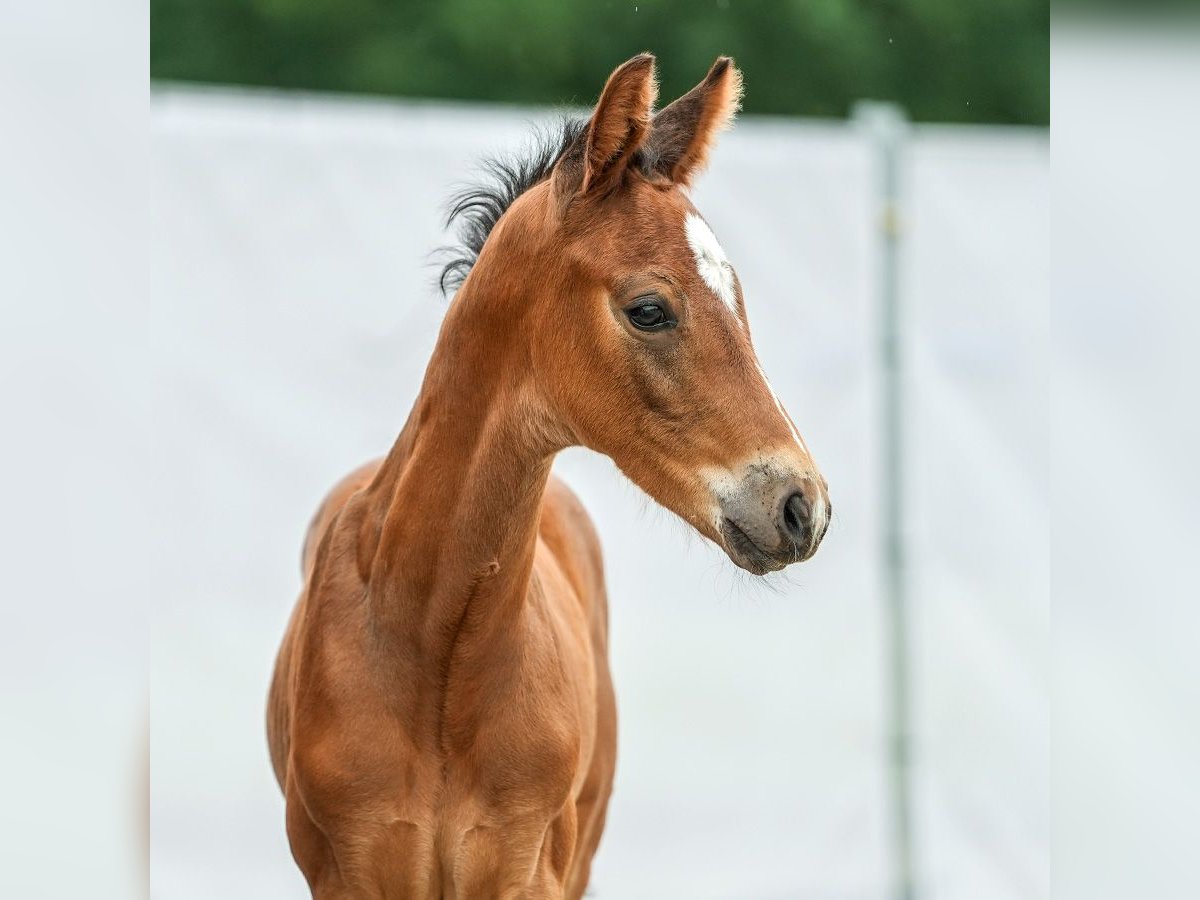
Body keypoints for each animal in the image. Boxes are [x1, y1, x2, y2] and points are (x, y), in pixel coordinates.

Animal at [267, 52, 830, 897]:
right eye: (649, 309)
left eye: (737, 296)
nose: (801, 505)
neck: (432, 640)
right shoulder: (352, 873)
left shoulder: (527, 870)